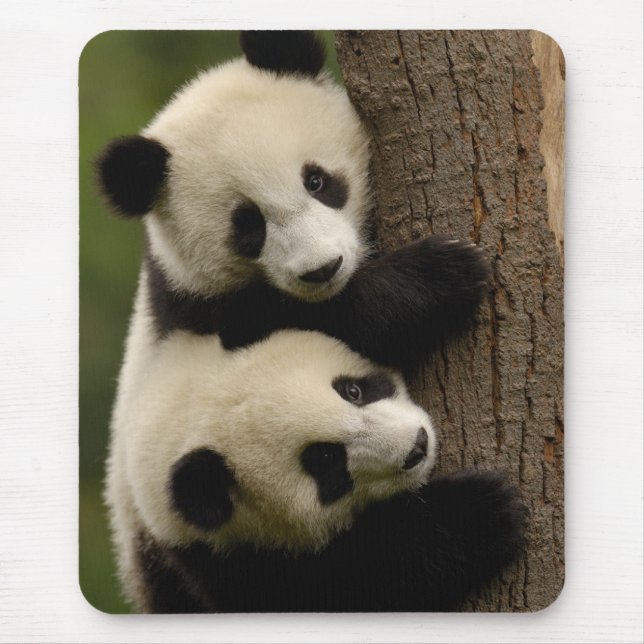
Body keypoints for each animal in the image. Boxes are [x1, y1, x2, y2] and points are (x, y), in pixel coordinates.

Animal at [96, 30, 492, 373]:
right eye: (249, 226)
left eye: (316, 181)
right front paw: (441, 273)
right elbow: (318, 320)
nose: (324, 269)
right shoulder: (206, 314)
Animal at [109, 329, 526, 613]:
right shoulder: (222, 565)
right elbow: (352, 581)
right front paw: (481, 511)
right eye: (326, 460)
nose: (417, 447)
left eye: (352, 391)